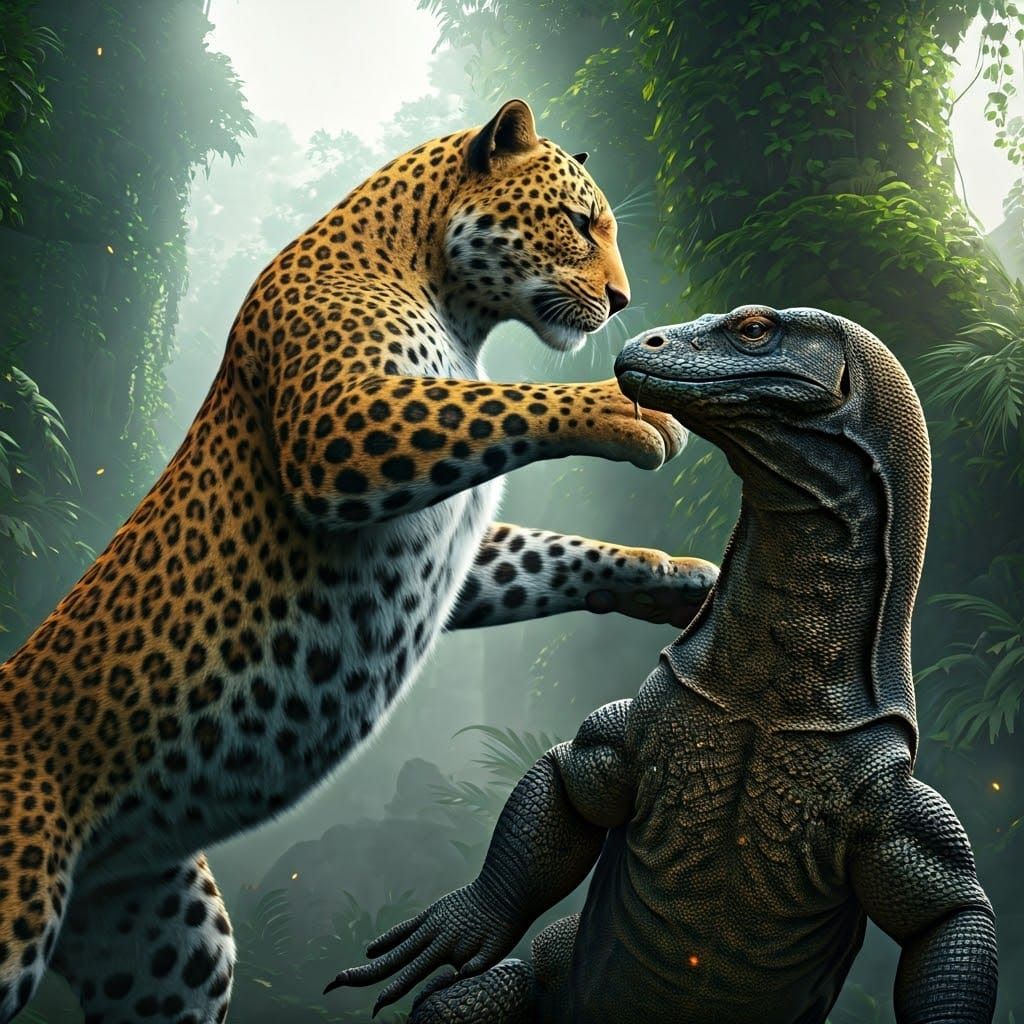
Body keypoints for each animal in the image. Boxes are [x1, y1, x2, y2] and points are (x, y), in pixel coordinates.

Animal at [0, 98, 718, 1023]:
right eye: (576, 221)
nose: (624, 299)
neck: (456, 306)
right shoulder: (343, 425)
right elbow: (502, 403)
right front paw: (622, 408)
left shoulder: (452, 542)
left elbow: (552, 557)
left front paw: (678, 579)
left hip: (176, 946)